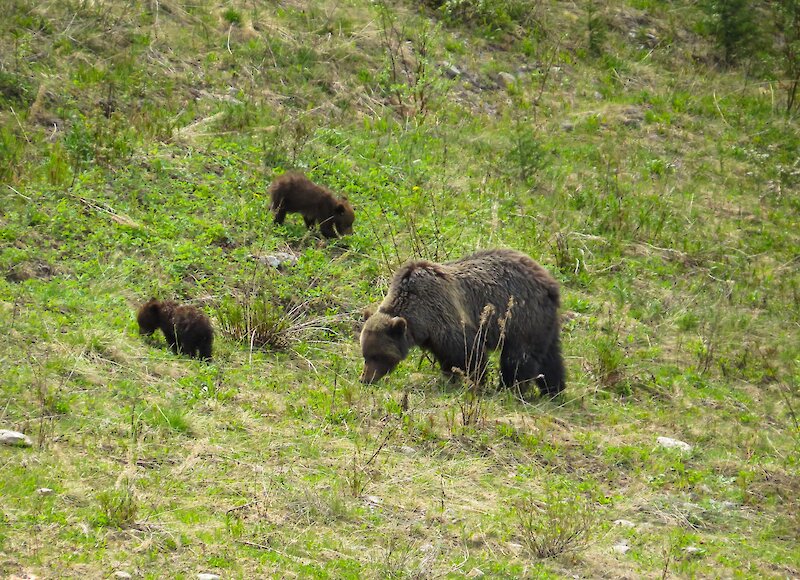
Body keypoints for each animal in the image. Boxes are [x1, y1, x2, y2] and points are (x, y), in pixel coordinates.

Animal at [360, 247, 564, 396]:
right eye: (365, 354)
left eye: (377, 355)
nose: (365, 379)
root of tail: (550, 282)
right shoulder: (433, 337)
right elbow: (446, 358)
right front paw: (450, 378)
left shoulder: (445, 316)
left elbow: (468, 353)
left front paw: (476, 381)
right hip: (542, 323)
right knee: (550, 357)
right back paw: (553, 390)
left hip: (520, 318)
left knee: (518, 356)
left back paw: (509, 389)